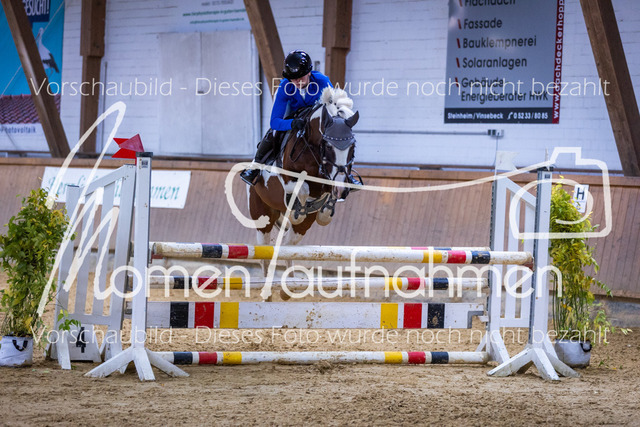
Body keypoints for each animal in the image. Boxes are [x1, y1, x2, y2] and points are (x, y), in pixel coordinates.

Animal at [247, 88, 360, 273]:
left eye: (353, 146)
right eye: (328, 146)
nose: (341, 189)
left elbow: (328, 191)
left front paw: (325, 213)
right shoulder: (289, 179)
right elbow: (303, 189)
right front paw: (298, 211)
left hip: (302, 227)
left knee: (287, 246)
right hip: (263, 214)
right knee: (265, 250)